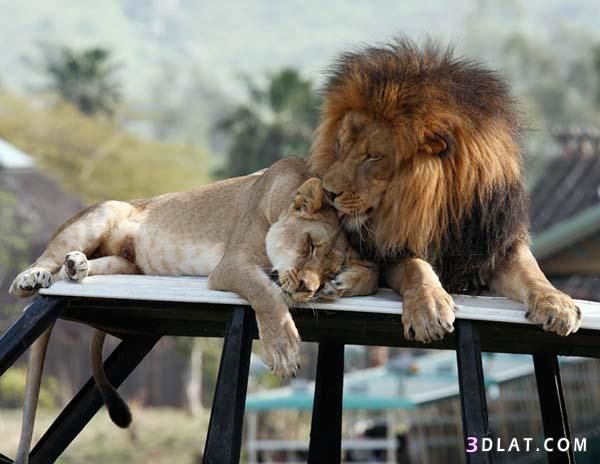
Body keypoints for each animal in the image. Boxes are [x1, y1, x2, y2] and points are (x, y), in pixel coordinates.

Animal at [310, 40, 580, 342]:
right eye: (340, 145)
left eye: (373, 156)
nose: (328, 191)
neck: (444, 209)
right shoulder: (392, 250)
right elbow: (415, 267)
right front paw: (428, 308)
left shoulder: (495, 244)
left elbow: (533, 273)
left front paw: (558, 303)